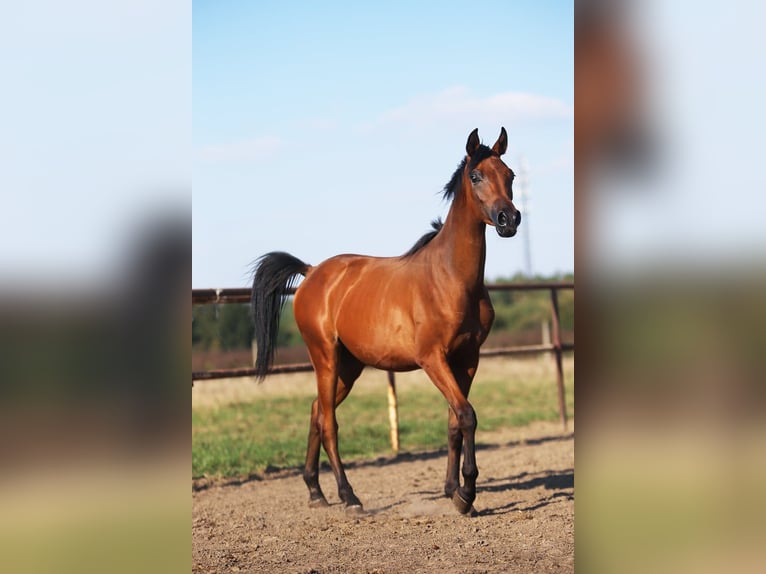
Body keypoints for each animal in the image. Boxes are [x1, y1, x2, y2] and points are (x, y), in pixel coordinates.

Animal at [252, 128, 520, 516]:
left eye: (510, 175)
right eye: (475, 176)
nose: (508, 220)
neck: (450, 278)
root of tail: (312, 272)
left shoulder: (468, 359)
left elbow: (454, 421)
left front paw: (453, 490)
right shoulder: (433, 359)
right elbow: (467, 415)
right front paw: (467, 494)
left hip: (349, 366)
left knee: (317, 411)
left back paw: (316, 491)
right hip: (325, 358)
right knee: (329, 422)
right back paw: (348, 497)